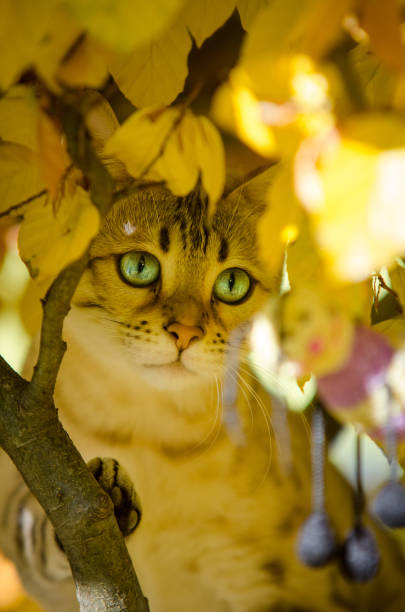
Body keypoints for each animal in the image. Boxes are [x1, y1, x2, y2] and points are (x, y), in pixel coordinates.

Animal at [0, 173, 404, 612]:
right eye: (139, 266)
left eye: (232, 283)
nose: (186, 332)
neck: (150, 435)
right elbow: (37, 522)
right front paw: (107, 492)